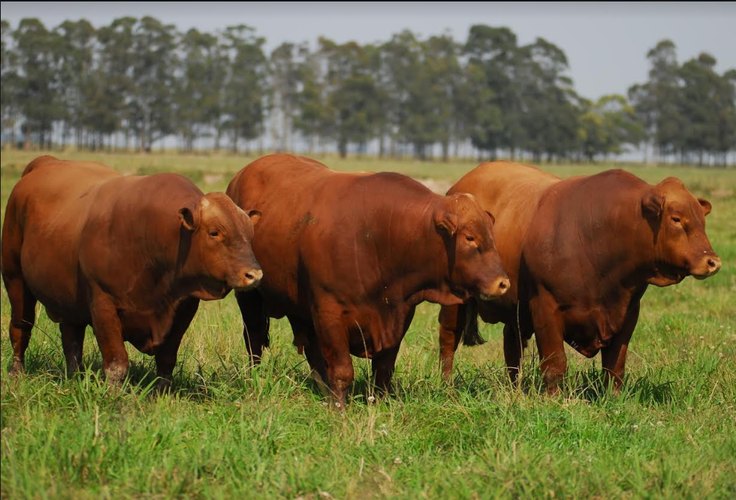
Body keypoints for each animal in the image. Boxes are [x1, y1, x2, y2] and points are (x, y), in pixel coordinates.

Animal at [1, 155, 262, 386]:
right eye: (214, 232)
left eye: (250, 233)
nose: (254, 275)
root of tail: (45, 162)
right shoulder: (103, 305)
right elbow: (116, 364)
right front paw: (113, 397)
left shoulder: (183, 309)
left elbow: (167, 360)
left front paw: (162, 395)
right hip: (15, 280)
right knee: (21, 327)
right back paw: (17, 373)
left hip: (68, 300)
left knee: (71, 339)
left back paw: (75, 378)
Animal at [227, 153, 508, 406]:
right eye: (470, 237)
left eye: (491, 234)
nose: (502, 283)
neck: (379, 235)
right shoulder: (329, 314)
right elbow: (342, 370)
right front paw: (339, 409)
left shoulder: (400, 315)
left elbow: (383, 370)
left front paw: (377, 403)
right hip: (249, 297)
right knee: (254, 341)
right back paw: (254, 380)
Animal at [440, 162, 720, 392]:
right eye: (676, 219)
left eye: (702, 220)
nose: (712, 262)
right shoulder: (545, 307)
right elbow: (555, 363)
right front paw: (553, 400)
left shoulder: (628, 312)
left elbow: (615, 366)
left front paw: (613, 400)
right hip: (454, 301)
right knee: (448, 340)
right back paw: (447, 387)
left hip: (515, 310)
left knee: (512, 348)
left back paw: (514, 390)